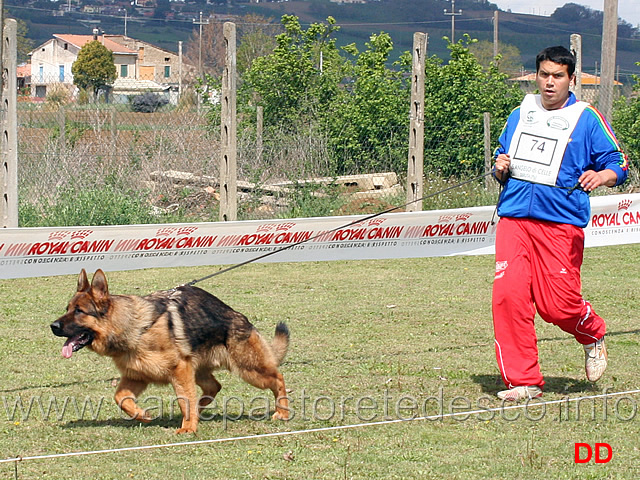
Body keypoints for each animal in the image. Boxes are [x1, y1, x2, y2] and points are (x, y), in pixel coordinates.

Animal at [50, 270, 290, 436]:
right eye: (67, 309)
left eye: (79, 311)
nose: (52, 326)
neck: (135, 327)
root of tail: (240, 317)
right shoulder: (137, 375)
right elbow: (120, 398)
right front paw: (142, 415)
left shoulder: (179, 371)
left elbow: (184, 400)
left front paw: (188, 428)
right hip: (201, 371)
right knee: (213, 387)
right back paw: (199, 411)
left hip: (250, 369)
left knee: (278, 378)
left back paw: (283, 412)